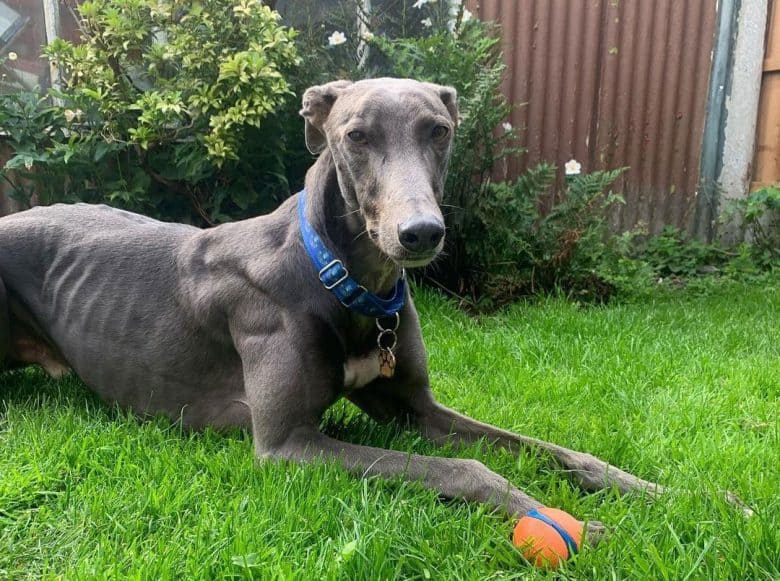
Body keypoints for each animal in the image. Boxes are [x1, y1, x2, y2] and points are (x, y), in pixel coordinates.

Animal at [0, 78, 672, 544]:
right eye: (356, 135)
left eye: (439, 130)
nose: (420, 234)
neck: (349, 281)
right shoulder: (285, 444)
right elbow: (465, 468)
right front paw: (566, 520)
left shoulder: (415, 408)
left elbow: (551, 449)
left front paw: (653, 488)